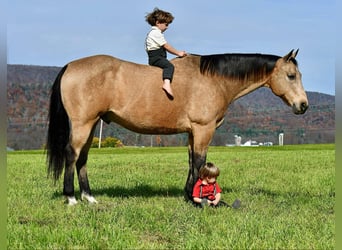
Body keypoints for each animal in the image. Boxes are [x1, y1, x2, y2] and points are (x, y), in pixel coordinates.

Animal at [46, 48, 308, 205]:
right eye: (291, 75)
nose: (303, 105)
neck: (213, 79)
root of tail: (70, 66)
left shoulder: (192, 131)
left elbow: (192, 162)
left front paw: (188, 194)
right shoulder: (203, 129)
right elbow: (201, 162)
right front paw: (197, 199)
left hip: (91, 125)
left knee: (82, 158)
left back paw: (89, 197)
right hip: (83, 124)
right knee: (72, 154)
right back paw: (71, 198)